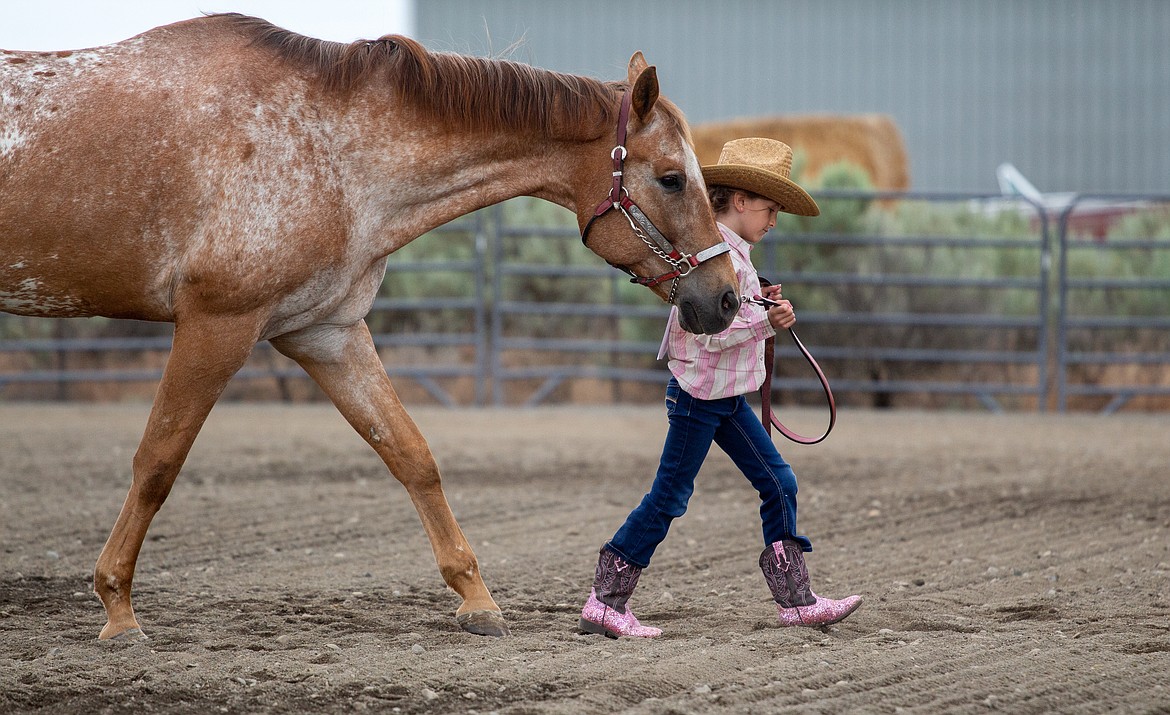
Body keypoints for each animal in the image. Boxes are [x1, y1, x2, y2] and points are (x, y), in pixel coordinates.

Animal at [0, 14, 740, 640]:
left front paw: (477, 599)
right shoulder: (217, 325)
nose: (728, 298)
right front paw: (118, 608)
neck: (326, 146)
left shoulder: (327, 333)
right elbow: (157, 463)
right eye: (672, 179)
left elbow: (412, 455)